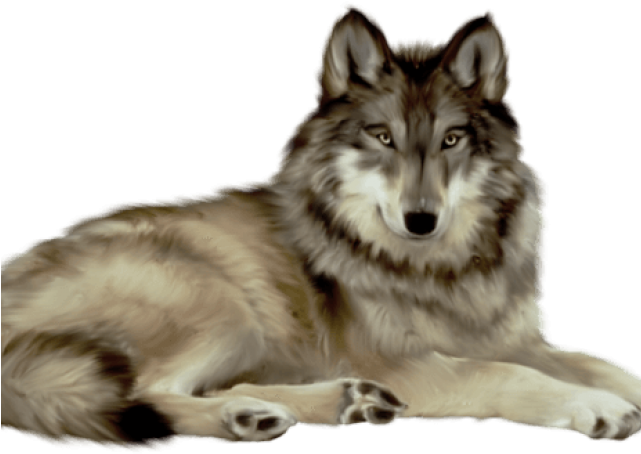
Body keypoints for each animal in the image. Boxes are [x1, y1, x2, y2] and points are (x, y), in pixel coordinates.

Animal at [2, 5, 640, 447]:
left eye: (451, 140)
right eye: (383, 138)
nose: (420, 219)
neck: (440, 268)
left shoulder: (522, 341)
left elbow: (608, 366)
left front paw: (622, 393)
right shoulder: (406, 364)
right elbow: (509, 376)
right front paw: (598, 408)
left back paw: (341, 403)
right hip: (223, 302)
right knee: (152, 393)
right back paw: (252, 416)